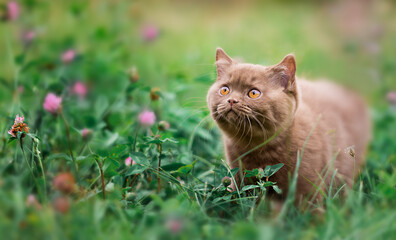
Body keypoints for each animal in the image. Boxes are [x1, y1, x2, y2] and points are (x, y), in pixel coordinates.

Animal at [207, 47, 372, 203]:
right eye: (225, 90)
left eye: (253, 93)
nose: (231, 100)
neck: (256, 146)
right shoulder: (238, 177)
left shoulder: (309, 185)